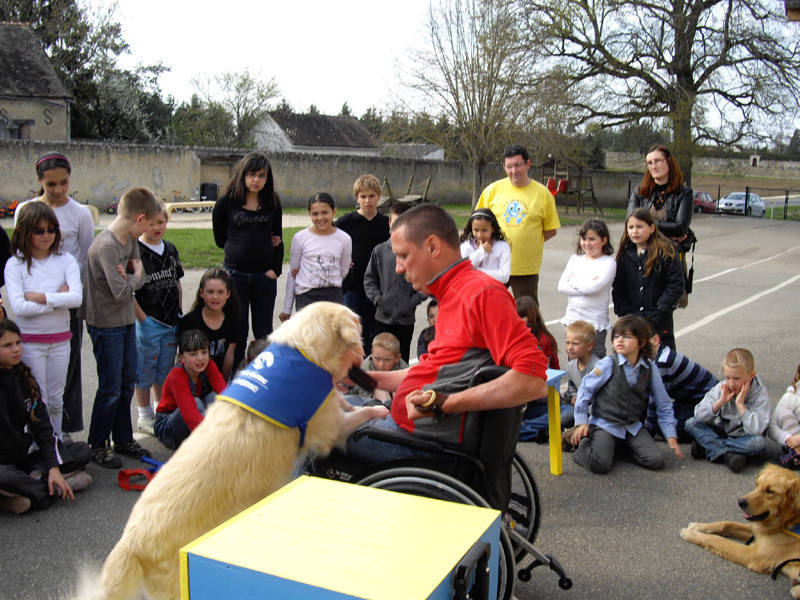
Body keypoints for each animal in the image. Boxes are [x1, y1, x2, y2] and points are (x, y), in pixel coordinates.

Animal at [76, 304, 390, 600]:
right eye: (360, 326)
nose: (368, 358)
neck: (305, 352)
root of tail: (128, 543)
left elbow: (344, 403)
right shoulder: (330, 428)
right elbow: (356, 416)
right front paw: (379, 411)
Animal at [680, 464, 800, 596]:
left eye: (770, 491)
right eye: (757, 484)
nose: (740, 501)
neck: (786, 523)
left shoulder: (753, 554)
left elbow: (718, 540)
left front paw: (691, 533)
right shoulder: (758, 532)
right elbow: (727, 524)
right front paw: (699, 526)